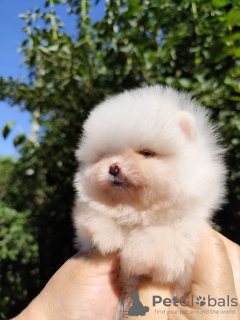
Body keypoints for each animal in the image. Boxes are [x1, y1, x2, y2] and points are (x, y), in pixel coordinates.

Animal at [72, 85, 226, 308]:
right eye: (104, 156)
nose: (113, 167)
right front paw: (107, 233)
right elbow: (94, 214)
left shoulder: (186, 234)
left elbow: (161, 235)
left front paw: (136, 253)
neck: (137, 210)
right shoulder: (87, 230)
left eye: (147, 153)